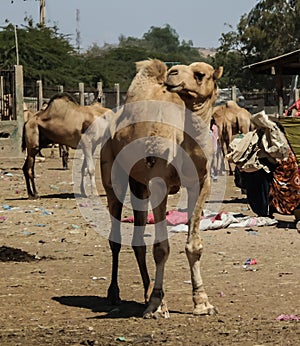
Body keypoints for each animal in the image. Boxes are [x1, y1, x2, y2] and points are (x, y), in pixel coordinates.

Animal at [101, 58, 223, 318]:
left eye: (200, 74)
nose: (173, 72)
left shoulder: (201, 183)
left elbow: (194, 245)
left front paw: (203, 303)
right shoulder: (159, 184)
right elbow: (161, 248)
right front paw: (157, 305)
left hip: (138, 184)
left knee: (138, 239)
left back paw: (146, 293)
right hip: (113, 175)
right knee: (116, 237)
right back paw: (115, 293)